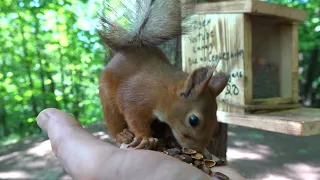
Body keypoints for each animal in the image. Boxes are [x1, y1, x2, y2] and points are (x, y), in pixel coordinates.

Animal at [96, 0, 229, 153]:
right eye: (194, 120)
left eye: (216, 119)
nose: (198, 150)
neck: (164, 91)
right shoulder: (135, 97)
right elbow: (135, 118)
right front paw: (146, 138)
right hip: (107, 99)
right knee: (114, 121)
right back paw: (122, 134)